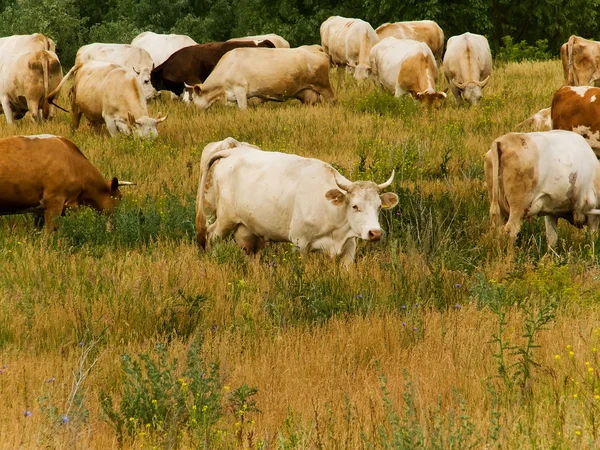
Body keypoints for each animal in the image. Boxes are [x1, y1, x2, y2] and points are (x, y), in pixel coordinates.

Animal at [188, 44, 336, 109]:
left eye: (193, 98)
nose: (195, 111)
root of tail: (315, 47)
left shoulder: (240, 90)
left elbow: (243, 109)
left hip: (325, 86)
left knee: (332, 100)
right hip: (310, 94)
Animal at [195, 135, 398, 266]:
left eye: (379, 206)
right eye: (355, 206)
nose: (375, 233)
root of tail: (232, 151)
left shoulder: (349, 248)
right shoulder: (300, 243)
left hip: (248, 228)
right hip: (225, 220)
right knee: (212, 237)